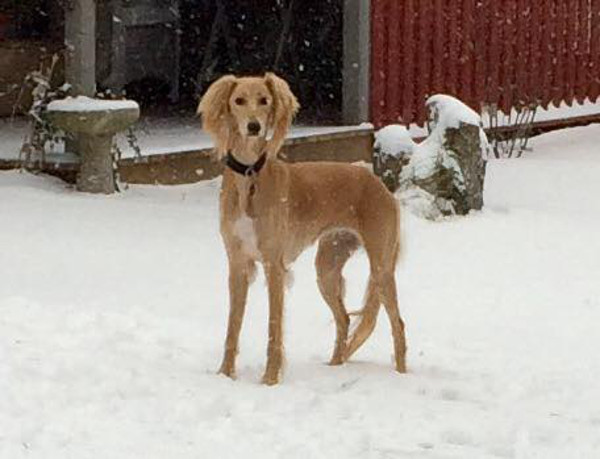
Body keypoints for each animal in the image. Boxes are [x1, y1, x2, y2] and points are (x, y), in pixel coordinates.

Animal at [198, 72, 406, 385]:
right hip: (327, 266)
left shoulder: (273, 265)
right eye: (238, 100)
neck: (250, 173)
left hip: (381, 267)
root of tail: (380, 184)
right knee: (344, 318)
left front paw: (270, 379)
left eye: (264, 100)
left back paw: (402, 374)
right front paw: (224, 374)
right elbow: (232, 326)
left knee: (398, 324)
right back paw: (335, 366)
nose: (253, 126)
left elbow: (274, 327)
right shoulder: (237, 264)